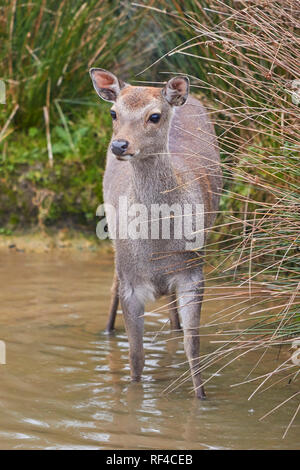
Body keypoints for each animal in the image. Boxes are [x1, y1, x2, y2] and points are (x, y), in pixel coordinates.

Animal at [90, 68, 221, 398]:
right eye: (114, 112)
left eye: (155, 116)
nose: (119, 145)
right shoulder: (131, 282)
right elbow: (136, 356)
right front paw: (133, 395)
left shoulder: (193, 274)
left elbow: (193, 347)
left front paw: (202, 398)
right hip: (116, 244)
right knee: (112, 283)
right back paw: (106, 331)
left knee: (173, 312)